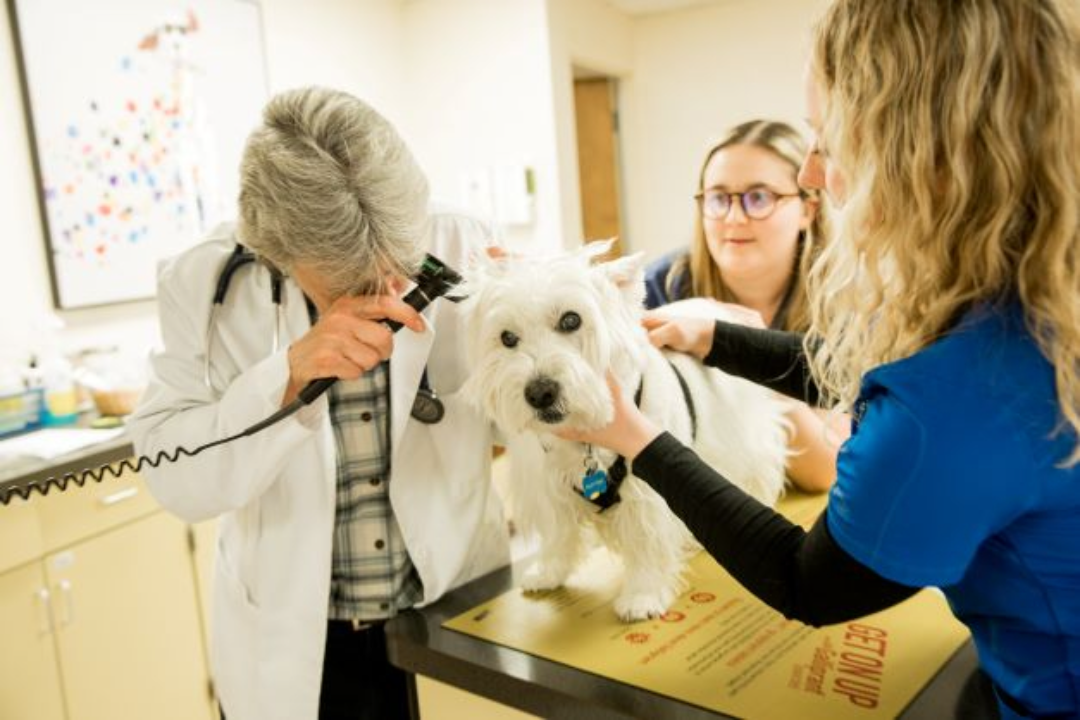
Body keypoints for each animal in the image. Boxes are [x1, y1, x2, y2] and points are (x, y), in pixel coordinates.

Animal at [460, 245, 790, 621]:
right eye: (507, 338)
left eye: (571, 320)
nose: (540, 393)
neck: (585, 438)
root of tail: (713, 305)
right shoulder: (548, 488)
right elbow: (558, 533)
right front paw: (549, 571)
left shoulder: (649, 491)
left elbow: (647, 540)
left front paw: (642, 595)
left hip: (745, 437)